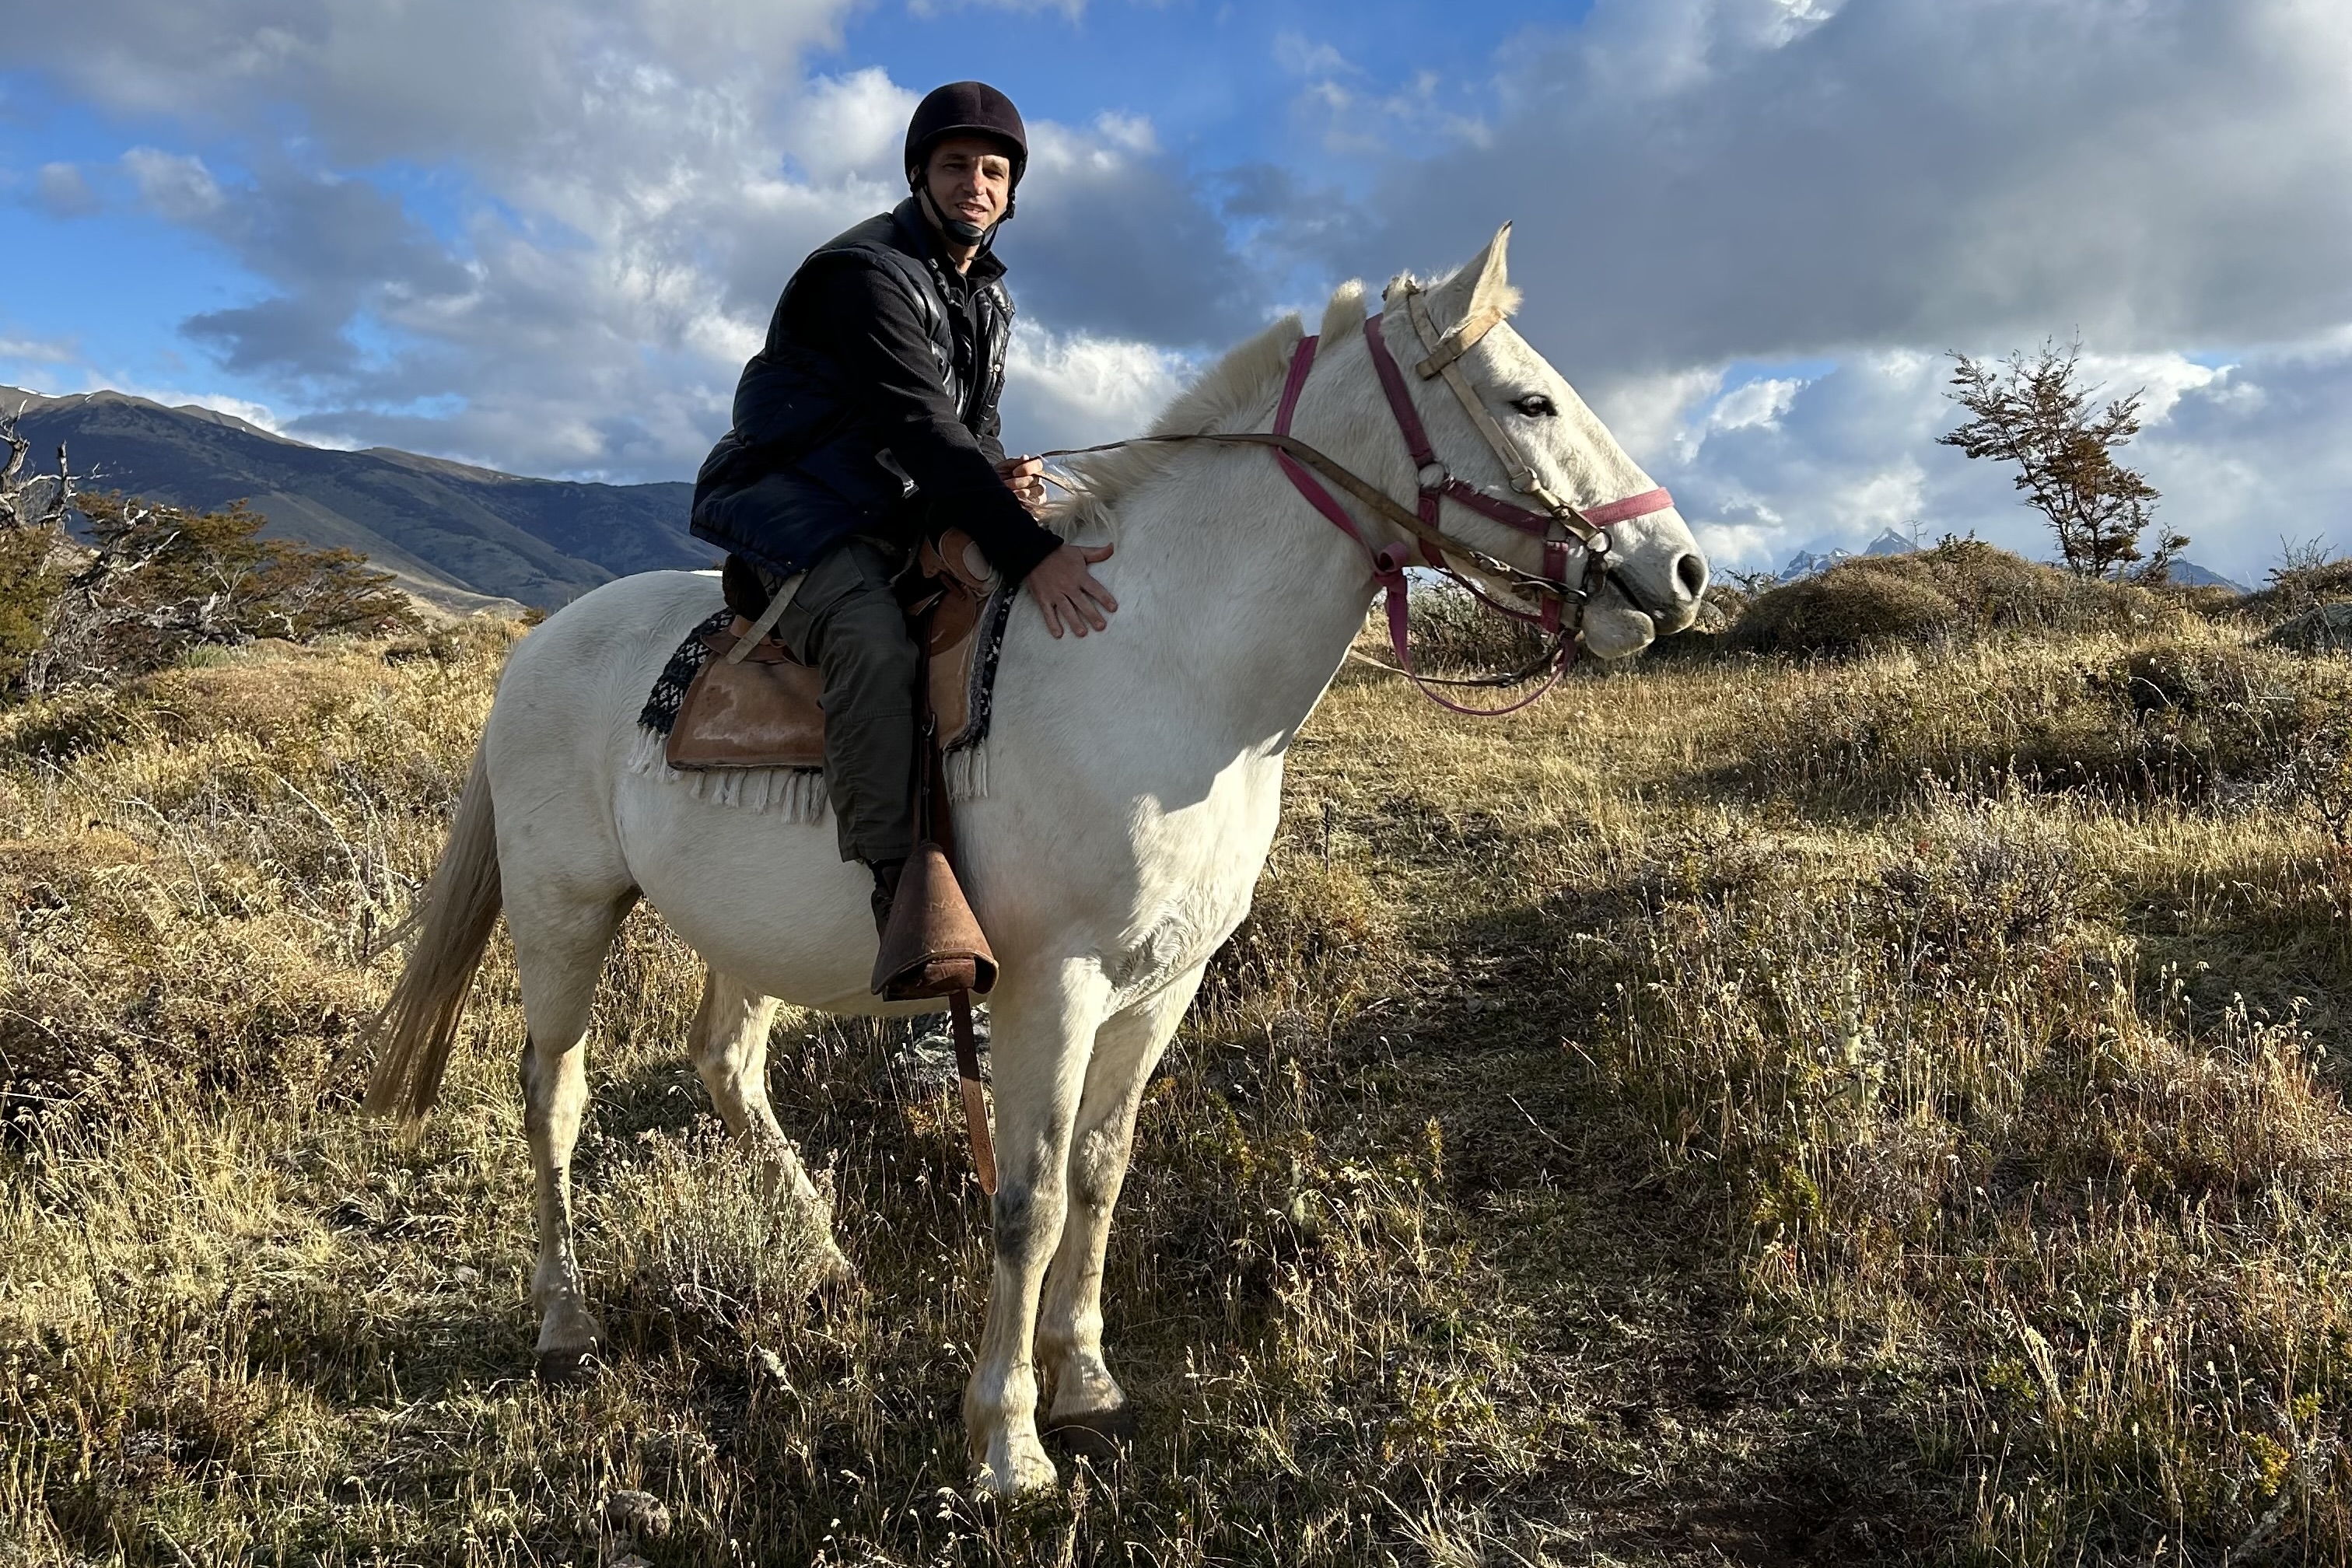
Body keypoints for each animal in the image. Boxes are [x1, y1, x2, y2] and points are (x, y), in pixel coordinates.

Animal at [360, 223, 1710, 1495]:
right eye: (1530, 401)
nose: (1680, 570)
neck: (1167, 662)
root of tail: (537, 651)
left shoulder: (1163, 984)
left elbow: (1102, 1178)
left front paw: (1086, 1377)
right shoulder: (1051, 986)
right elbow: (1032, 1197)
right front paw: (1009, 1438)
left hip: (742, 935)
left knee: (726, 1064)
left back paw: (822, 1254)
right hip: (564, 911)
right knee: (554, 1094)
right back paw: (565, 1317)